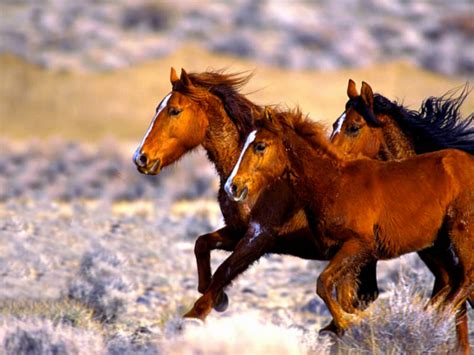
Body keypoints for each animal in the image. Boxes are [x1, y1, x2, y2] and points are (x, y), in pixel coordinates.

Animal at [132, 68, 378, 332]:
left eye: (174, 111)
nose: (140, 158)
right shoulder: (239, 231)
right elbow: (202, 244)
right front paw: (217, 297)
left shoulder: (260, 236)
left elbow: (225, 269)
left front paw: (196, 314)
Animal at [223, 110, 474, 354]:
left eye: (260, 146)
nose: (231, 187)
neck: (335, 184)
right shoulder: (345, 253)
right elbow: (343, 296)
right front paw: (351, 324)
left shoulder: (359, 246)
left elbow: (323, 283)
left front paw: (350, 322)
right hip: (436, 246)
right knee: (452, 281)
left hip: (459, 234)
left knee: (465, 280)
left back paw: (432, 321)